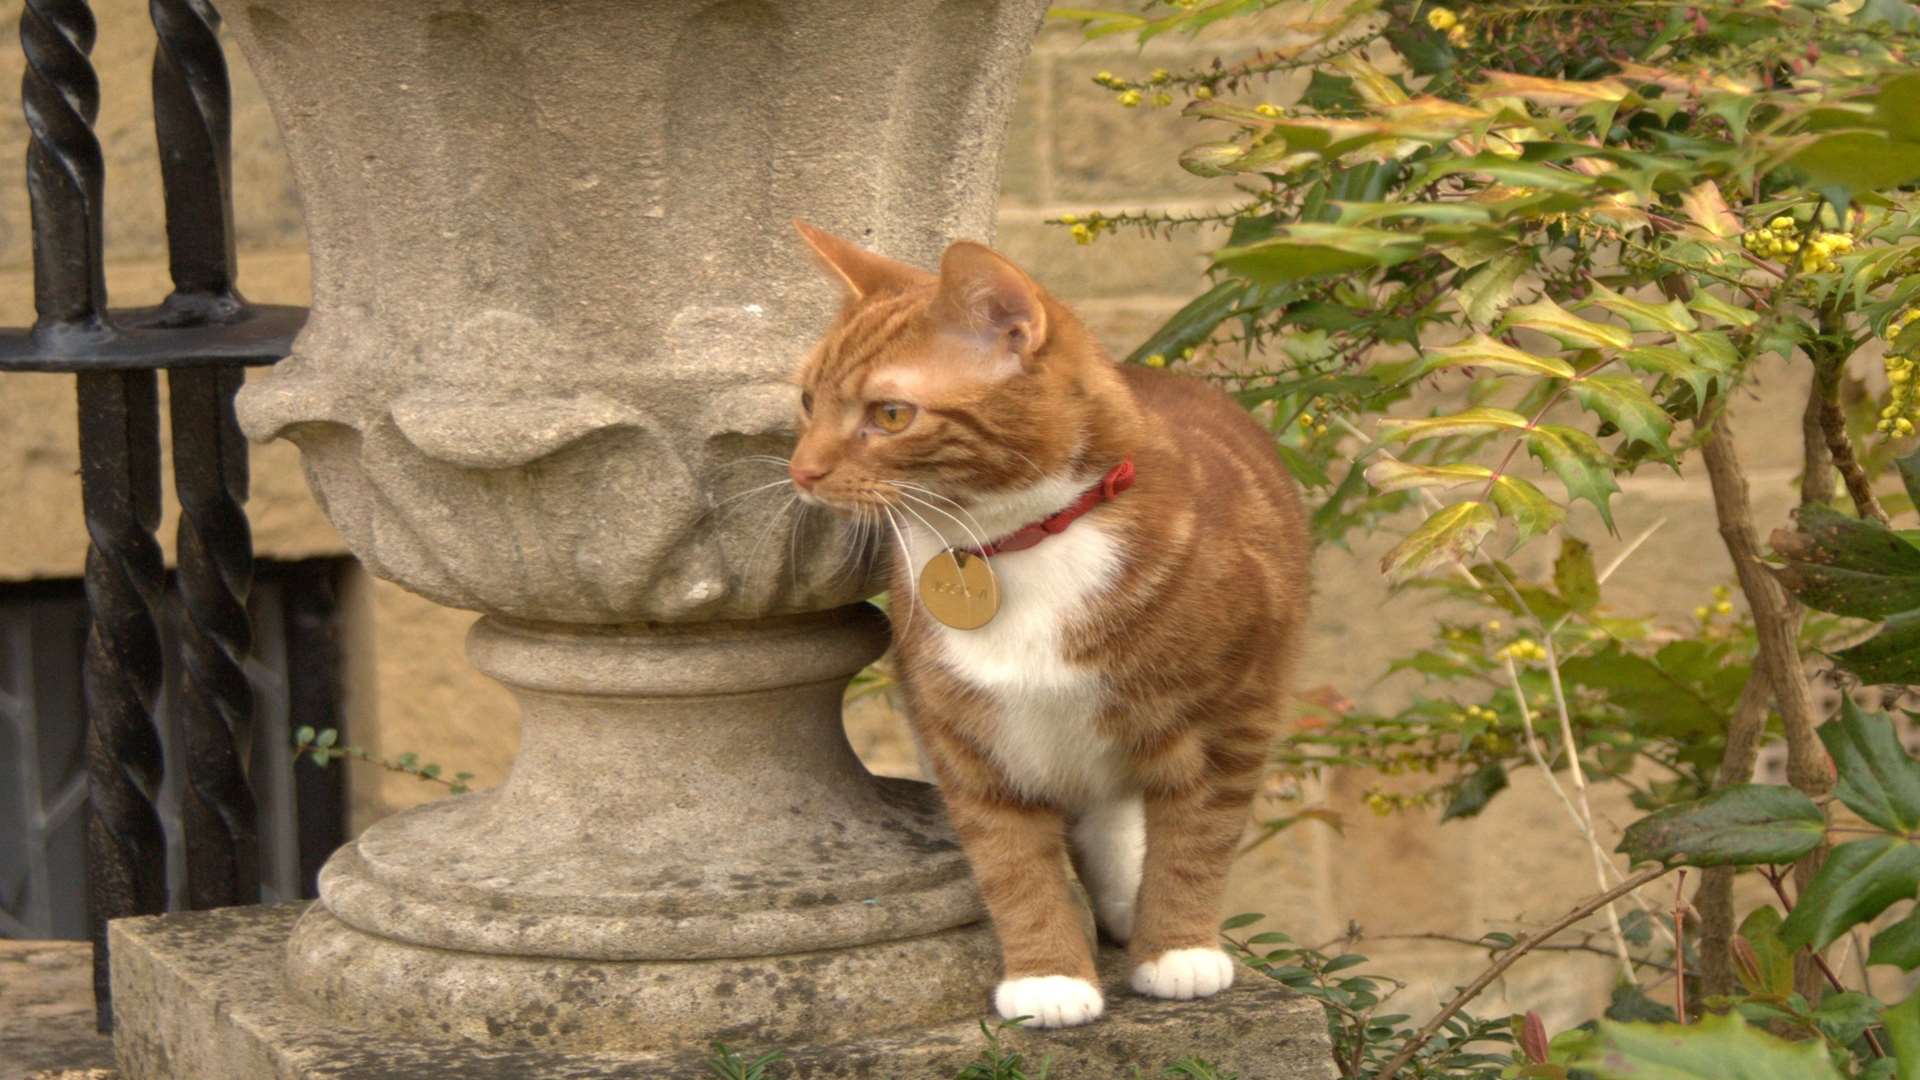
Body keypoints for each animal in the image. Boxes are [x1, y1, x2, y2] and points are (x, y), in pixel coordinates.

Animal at [787, 220, 1313, 1022]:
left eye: (891, 414)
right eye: (808, 400)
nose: (801, 471)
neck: (1018, 543)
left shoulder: (1234, 718)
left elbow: (1197, 840)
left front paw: (1179, 950)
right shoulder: (966, 739)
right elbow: (1010, 861)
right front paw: (1049, 979)